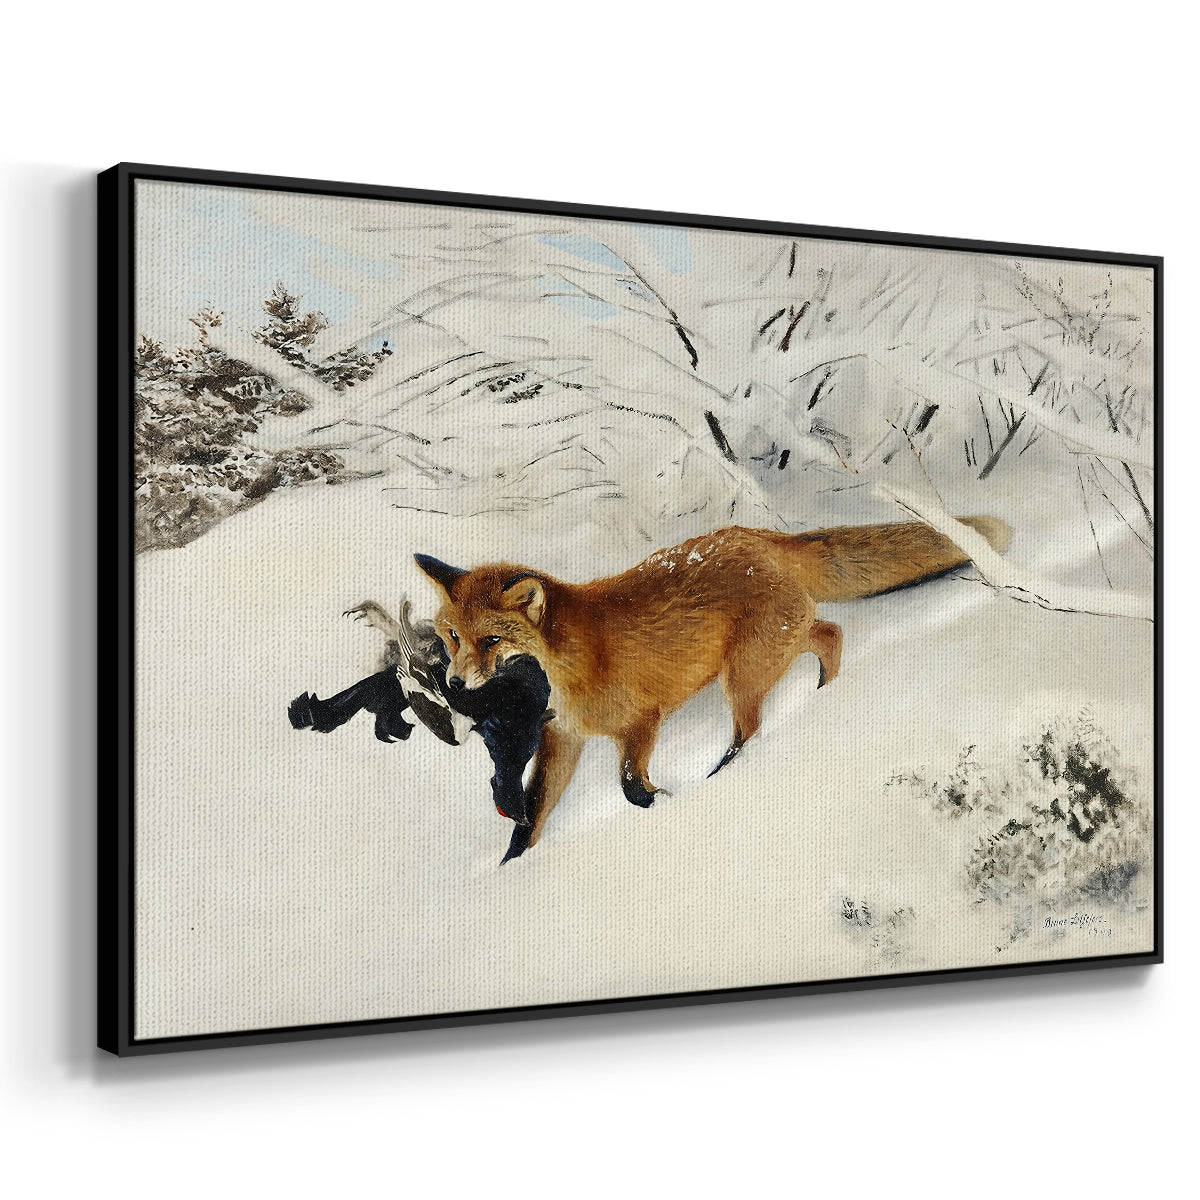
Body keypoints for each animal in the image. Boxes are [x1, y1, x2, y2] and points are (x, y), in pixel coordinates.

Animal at [414, 515, 1012, 860]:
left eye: (491, 640)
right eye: (453, 636)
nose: (454, 681)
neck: (571, 665)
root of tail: (758, 537)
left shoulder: (641, 721)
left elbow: (630, 786)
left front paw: (664, 802)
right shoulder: (565, 737)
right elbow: (533, 816)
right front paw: (512, 869)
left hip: (742, 674)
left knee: (756, 721)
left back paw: (727, 772)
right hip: (771, 651)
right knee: (829, 633)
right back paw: (825, 693)